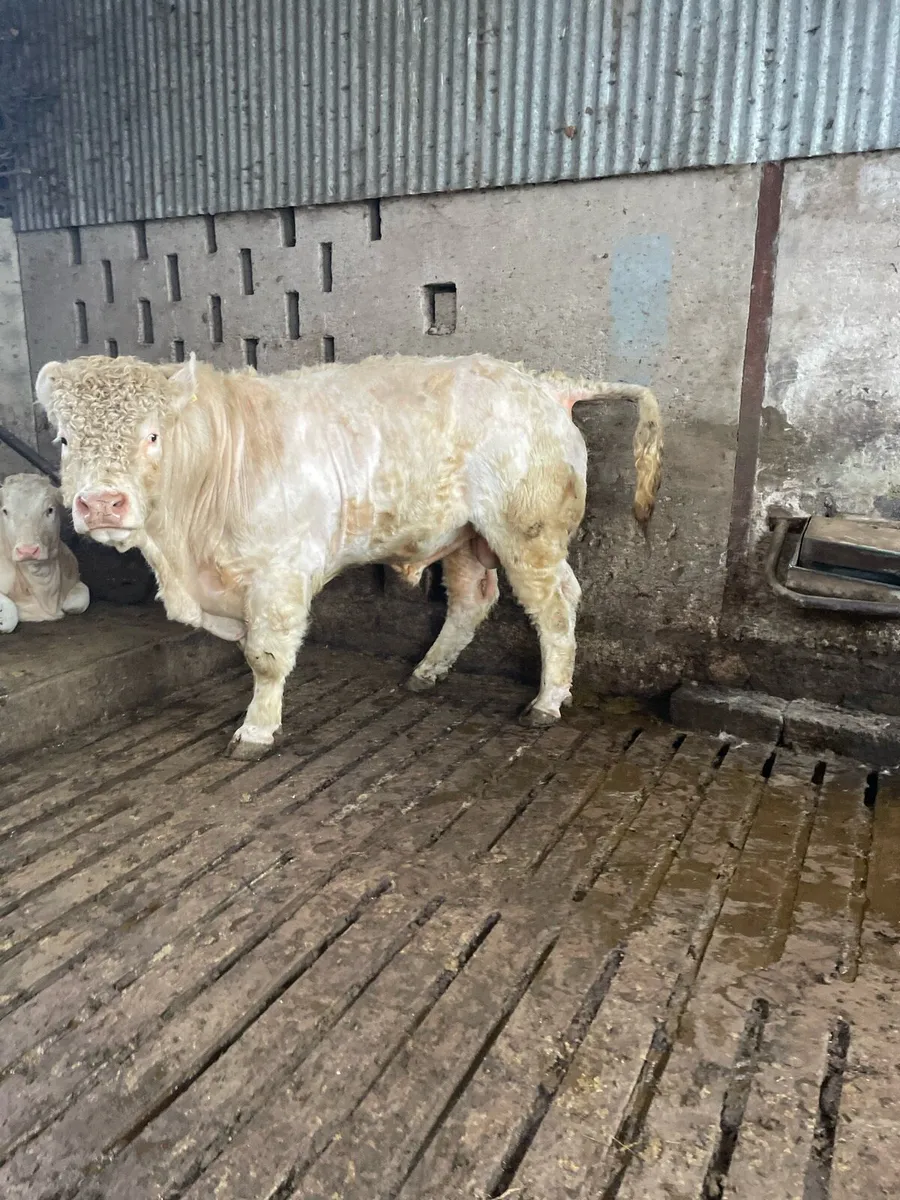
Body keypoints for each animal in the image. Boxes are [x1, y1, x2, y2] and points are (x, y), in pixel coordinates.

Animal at [35, 352, 662, 759]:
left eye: (152, 436)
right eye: (65, 439)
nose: (101, 503)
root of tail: (542, 383)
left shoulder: (280, 575)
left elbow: (265, 657)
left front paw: (257, 731)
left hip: (528, 532)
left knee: (555, 608)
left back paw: (547, 702)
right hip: (466, 537)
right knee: (472, 600)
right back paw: (428, 671)